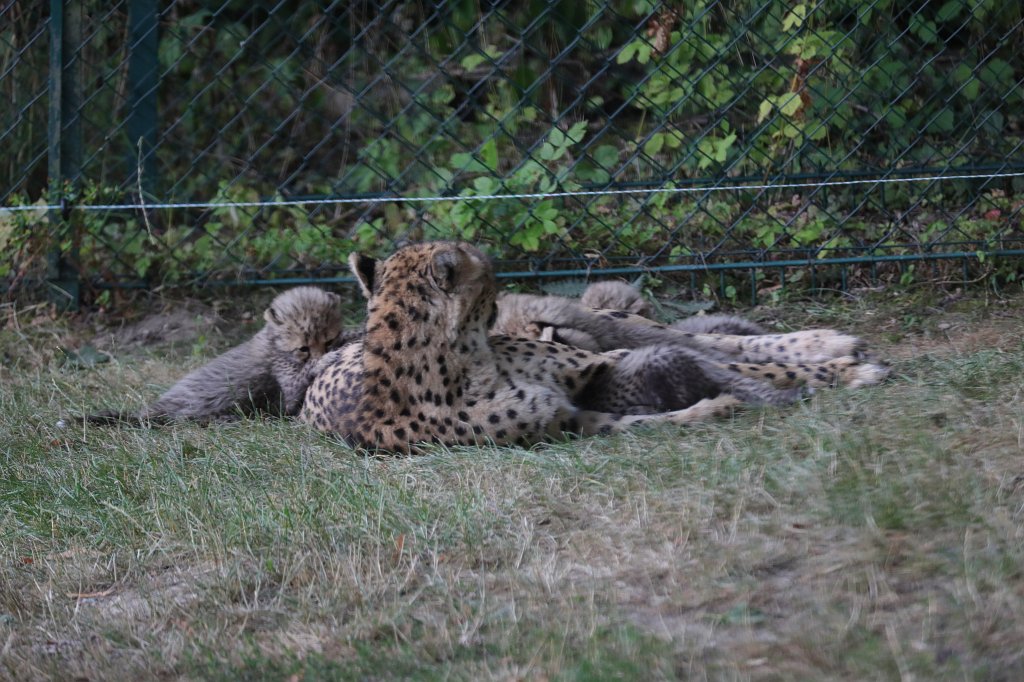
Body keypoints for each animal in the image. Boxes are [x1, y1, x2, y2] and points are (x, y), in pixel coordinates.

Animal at [87, 286, 347, 425]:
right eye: (303, 348)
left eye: (328, 339)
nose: (325, 351)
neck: (274, 340)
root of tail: (150, 410)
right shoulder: (285, 386)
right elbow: (297, 385)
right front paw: (323, 361)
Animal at [299, 242, 889, 453]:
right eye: (486, 274)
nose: (501, 291)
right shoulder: (570, 419)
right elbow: (643, 421)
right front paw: (713, 408)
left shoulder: (596, 364)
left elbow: (740, 362)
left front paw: (835, 368)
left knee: (689, 336)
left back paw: (825, 341)